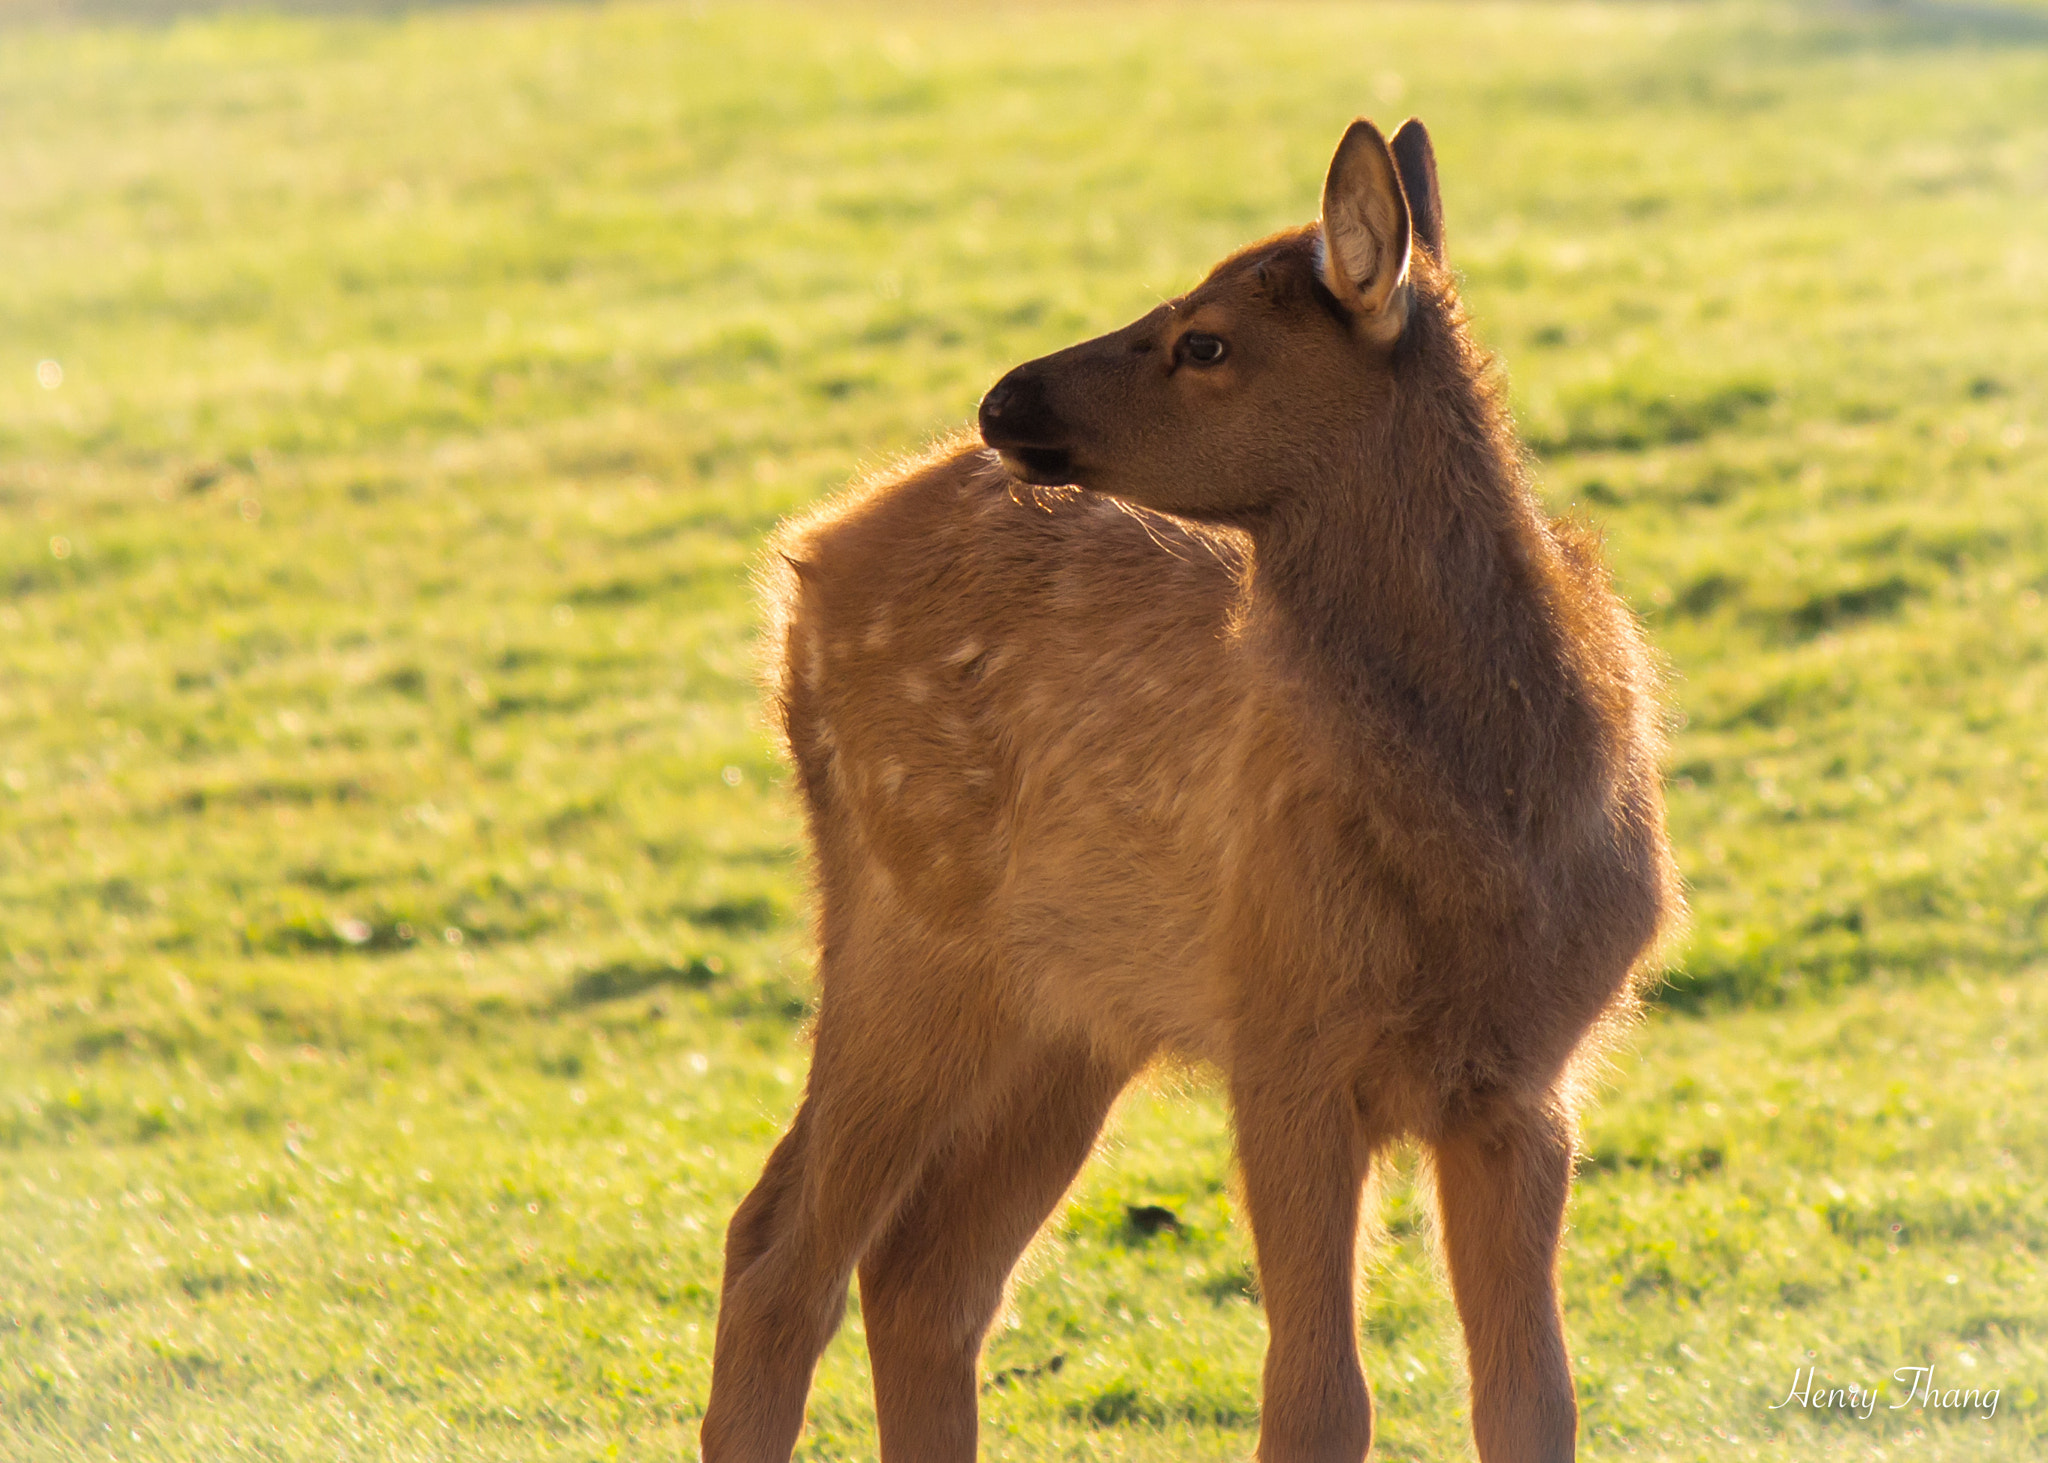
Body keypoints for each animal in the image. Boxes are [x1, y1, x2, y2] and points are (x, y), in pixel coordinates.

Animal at [699, 117, 1679, 1463]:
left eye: (1204, 340)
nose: (1003, 397)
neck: (1488, 842)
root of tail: (803, 562)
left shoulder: (1522, 1077)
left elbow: (1532, 1398)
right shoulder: (1281, 1030)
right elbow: (1318, 1397)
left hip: (1067, 1012)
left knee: (923, 1275)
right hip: (908, 930)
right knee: (778, 1248)